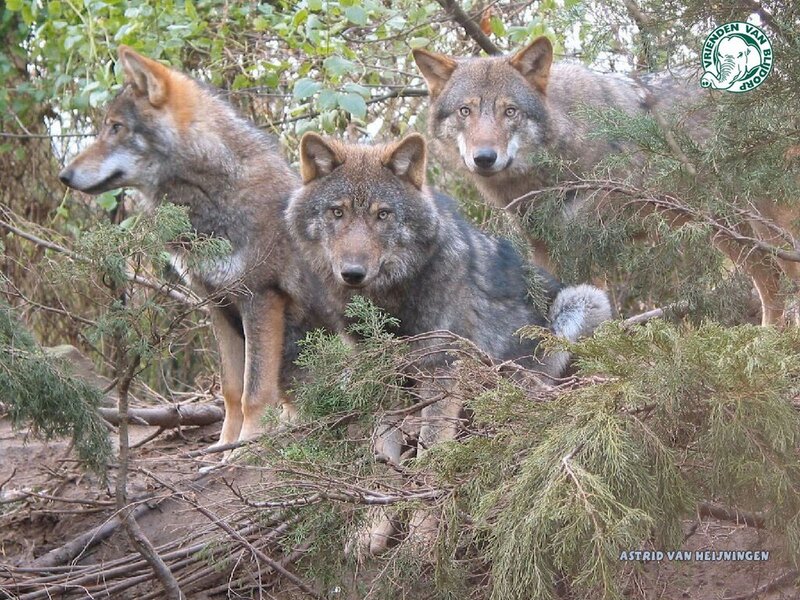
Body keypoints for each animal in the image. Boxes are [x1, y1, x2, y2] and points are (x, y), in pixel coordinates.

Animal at [59, 46, 342, 455]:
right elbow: (232, 391)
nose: (64, 176)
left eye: (116, 128)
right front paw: (223, 445)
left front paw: (244, 449)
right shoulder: (218, 304)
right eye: (106, 127)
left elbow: (254, 392)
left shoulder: (260, 299)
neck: (214, 198)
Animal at [413, 37, 798, 326]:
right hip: (734, 237)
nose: (484, 158)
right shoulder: (543, 250)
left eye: (510, 112)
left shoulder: (586, 248)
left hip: (769, 232)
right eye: (465, 111)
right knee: (773, 291)